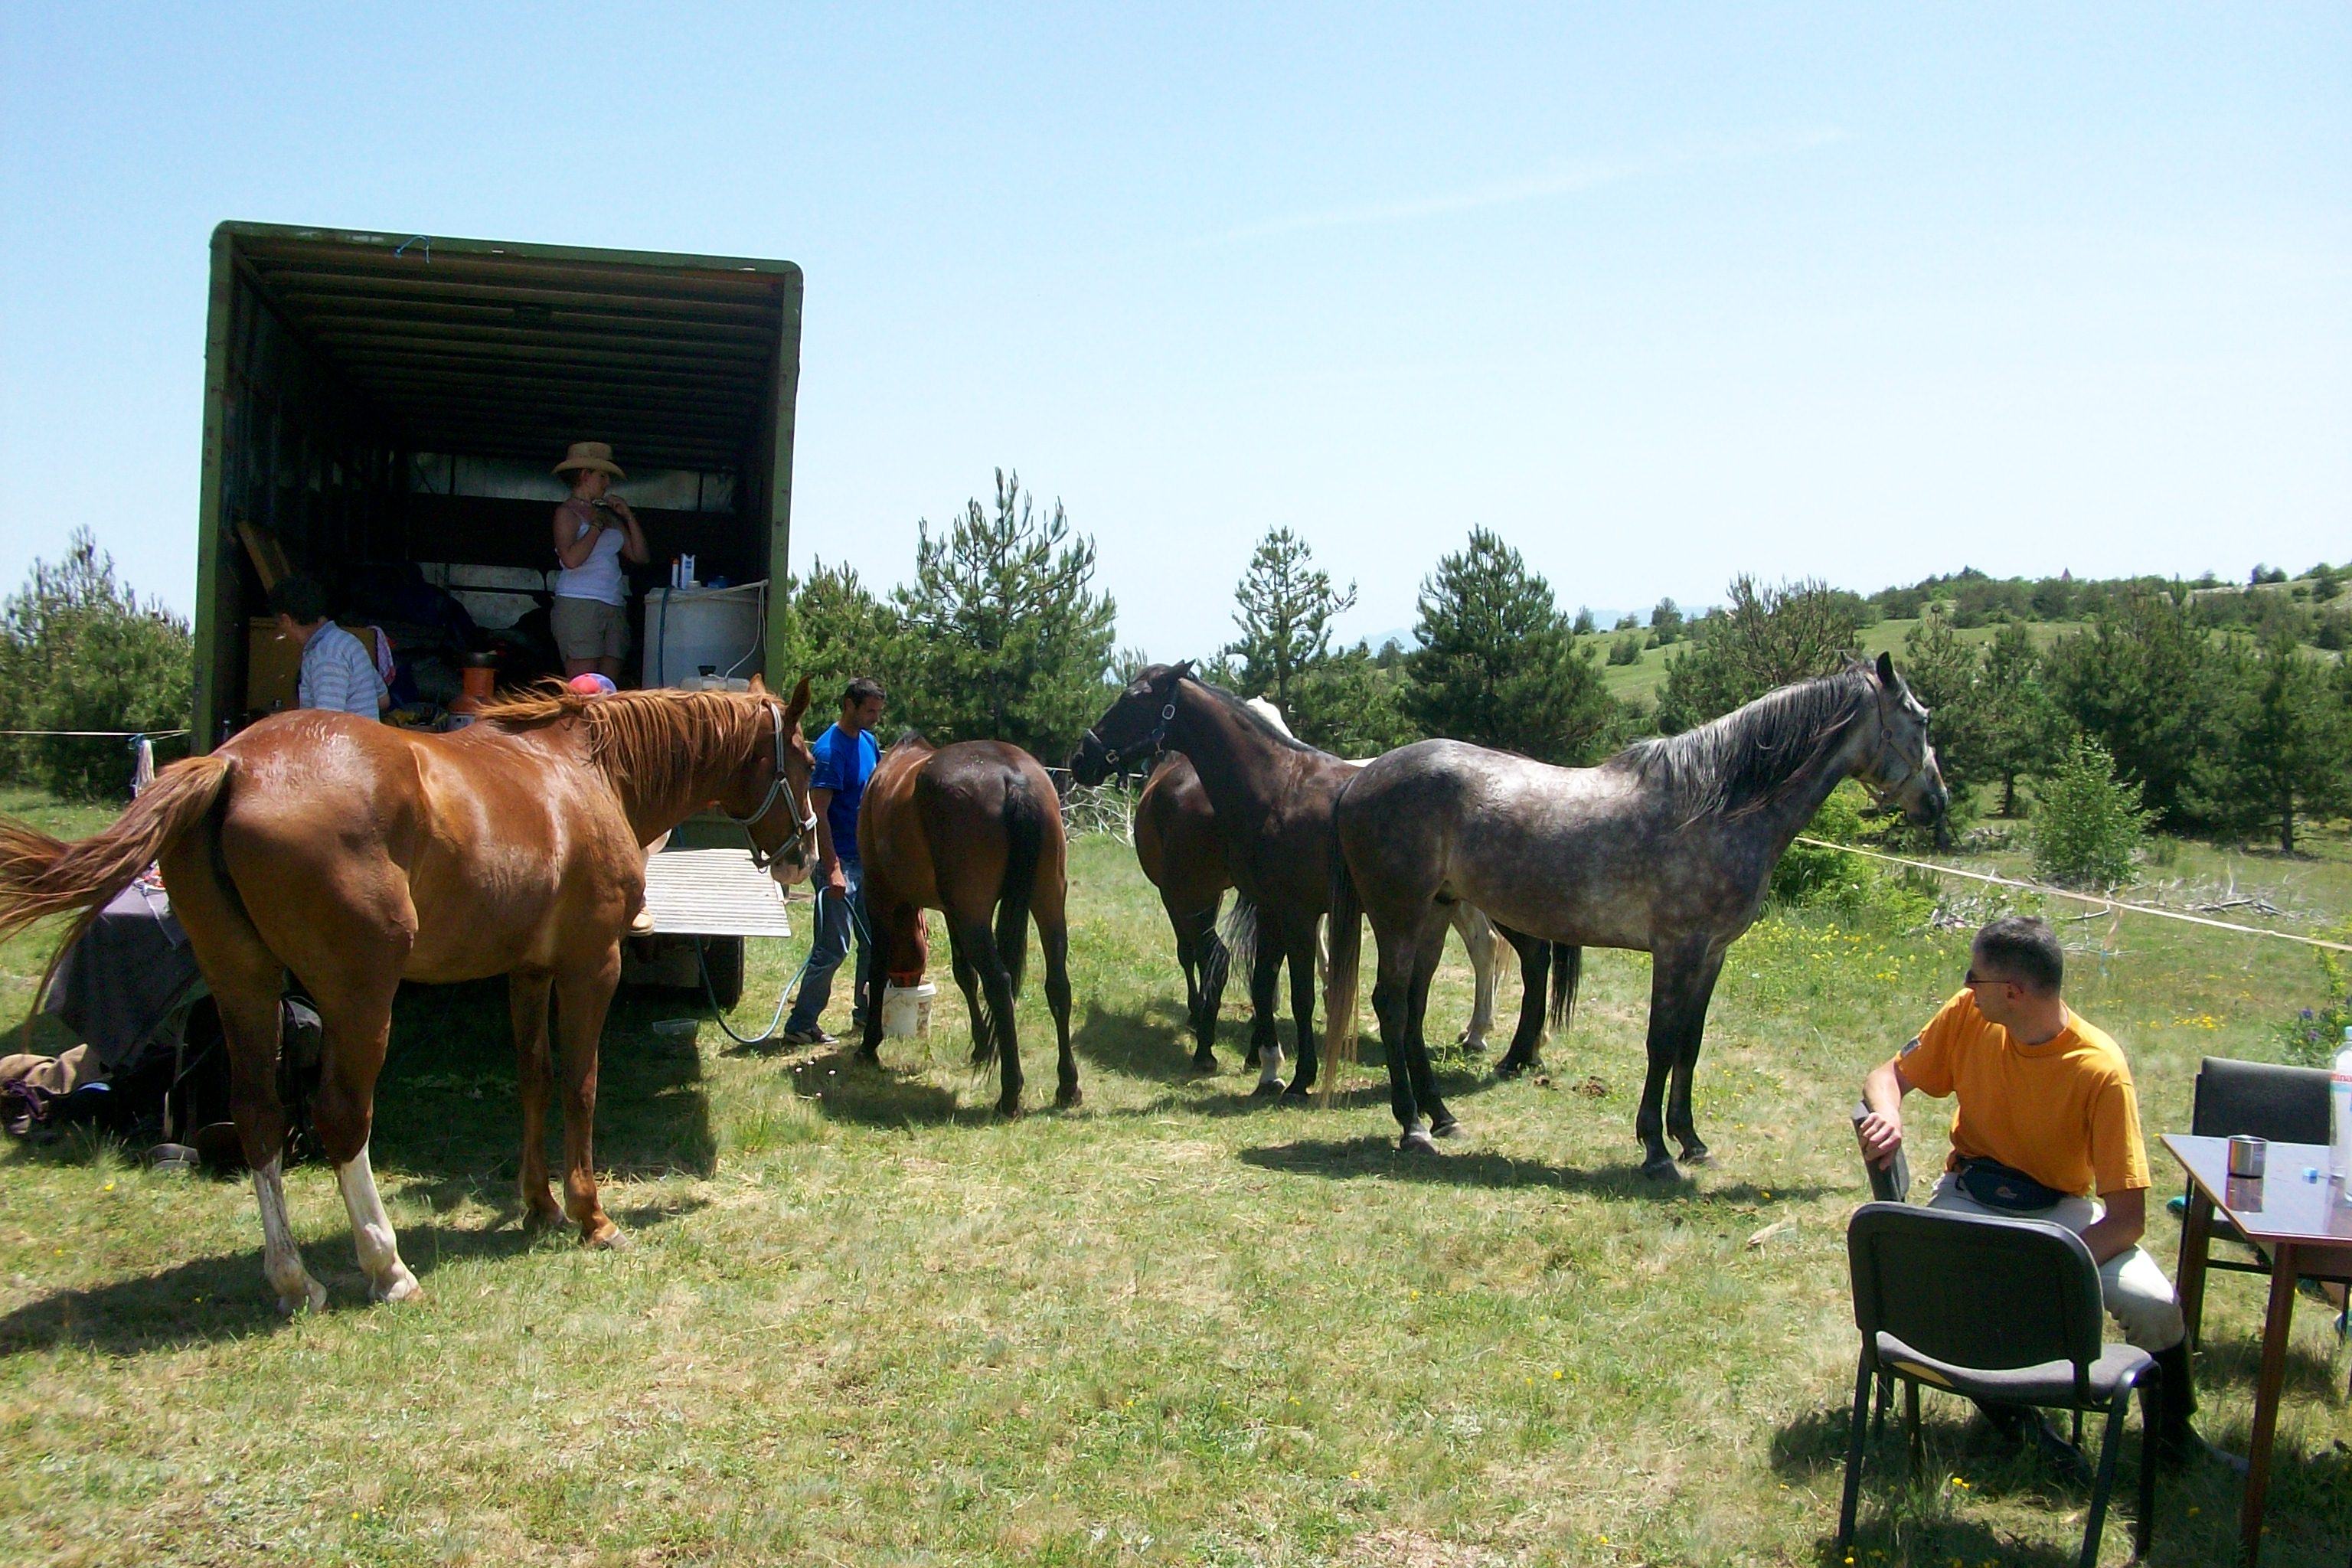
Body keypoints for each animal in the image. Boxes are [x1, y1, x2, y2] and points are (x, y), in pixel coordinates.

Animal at [0, 680, 819, 1312]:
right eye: (808, 761)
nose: (805, 854)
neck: (587, 774)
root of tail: (233, 764)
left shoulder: (528, 973)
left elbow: (534, 1079)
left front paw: (540, 1205)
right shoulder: (592, 967)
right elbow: (581, 1086)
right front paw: (590, 1215)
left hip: (244, 987)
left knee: (261, 1116)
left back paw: (294, 1280)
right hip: (360, 999)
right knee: (341, 1118)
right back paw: (386, 1266)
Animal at [856, 735, 1077, 1116]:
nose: (909, 983)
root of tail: (1013, 778)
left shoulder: (879, 895)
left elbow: (878, 966)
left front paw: (870, 1045)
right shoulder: (951, 912)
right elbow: (964, 974)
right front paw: (981, 1045)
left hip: (975, 915)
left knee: (999, 984)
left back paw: (1010, 1093)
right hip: (1047, 902)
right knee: (1058, 985)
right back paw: (1067, 1085)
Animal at [1069, 664, 1531, 1095]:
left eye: (1133, 700)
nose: (1080, 759)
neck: (1279, 789)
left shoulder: (1297, 915)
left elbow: (1300, 993)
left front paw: (1300, 1075)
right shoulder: (1269, 910)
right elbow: (1262, 983)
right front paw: (1269, 1066)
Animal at [1323, 653, 1946, 1169]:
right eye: (1921, 720)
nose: (1936, 801)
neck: (1718, 806)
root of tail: (1360, 779)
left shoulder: (1711, 955)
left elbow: (1690, 1045)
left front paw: (1691, 1141)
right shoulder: (1677, 951)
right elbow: (1661, 1042)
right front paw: (1655, 1149)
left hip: (1435, 913)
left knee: (1413, 1008)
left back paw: (1443, 1117)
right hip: (1399, 916)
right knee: (1391, 1006)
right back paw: (1411, 1127)